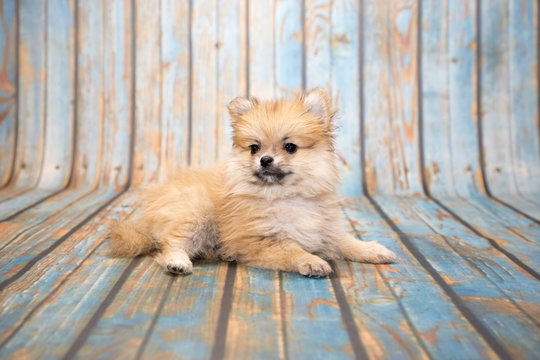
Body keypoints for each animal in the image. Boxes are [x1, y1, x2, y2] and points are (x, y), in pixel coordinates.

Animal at [109, 88, 396, 278]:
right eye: (254, 148)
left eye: (290, 147)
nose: (265, 159)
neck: (284, 196)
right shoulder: (258, 241)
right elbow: (291, 250)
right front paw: (311, 261)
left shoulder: (323, 230)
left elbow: (346, 242)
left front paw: (373, 250)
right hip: (196, 214)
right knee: (171, 244)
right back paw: (178, 263)